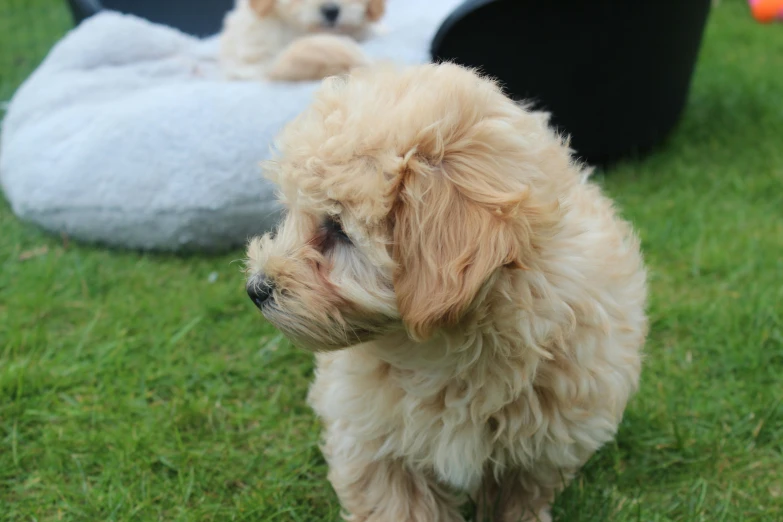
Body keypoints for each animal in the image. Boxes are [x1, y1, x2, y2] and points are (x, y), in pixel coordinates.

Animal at [245, 63, 648, 516]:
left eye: (337, 228)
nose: (256, 288)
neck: (450, 348)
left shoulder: (546, 441)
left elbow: (518, 495)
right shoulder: (374, 440)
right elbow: (397, 505)